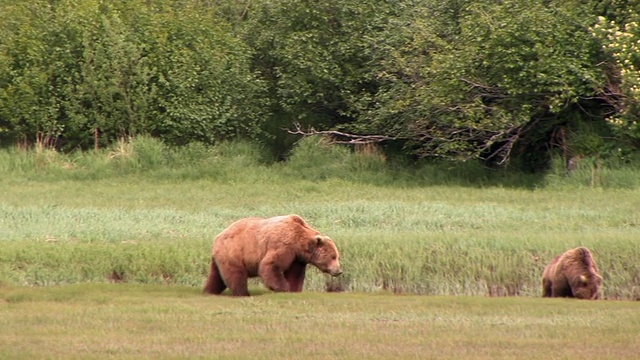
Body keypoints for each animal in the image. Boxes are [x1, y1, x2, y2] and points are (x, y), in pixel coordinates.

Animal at [206, 214, 344, 296]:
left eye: (337, 256)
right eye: (333, 256)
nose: (339, 271)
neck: (299, 243)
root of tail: (217, 237)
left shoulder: (297, 258)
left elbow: (295, 275)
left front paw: (295, 289)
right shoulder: (284, 246)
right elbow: (270, 265)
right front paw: (284, 288)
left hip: (221, 258)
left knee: (216, 276)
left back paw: (209, 291)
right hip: (234, 252)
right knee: (236, 275)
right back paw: (243, 293)